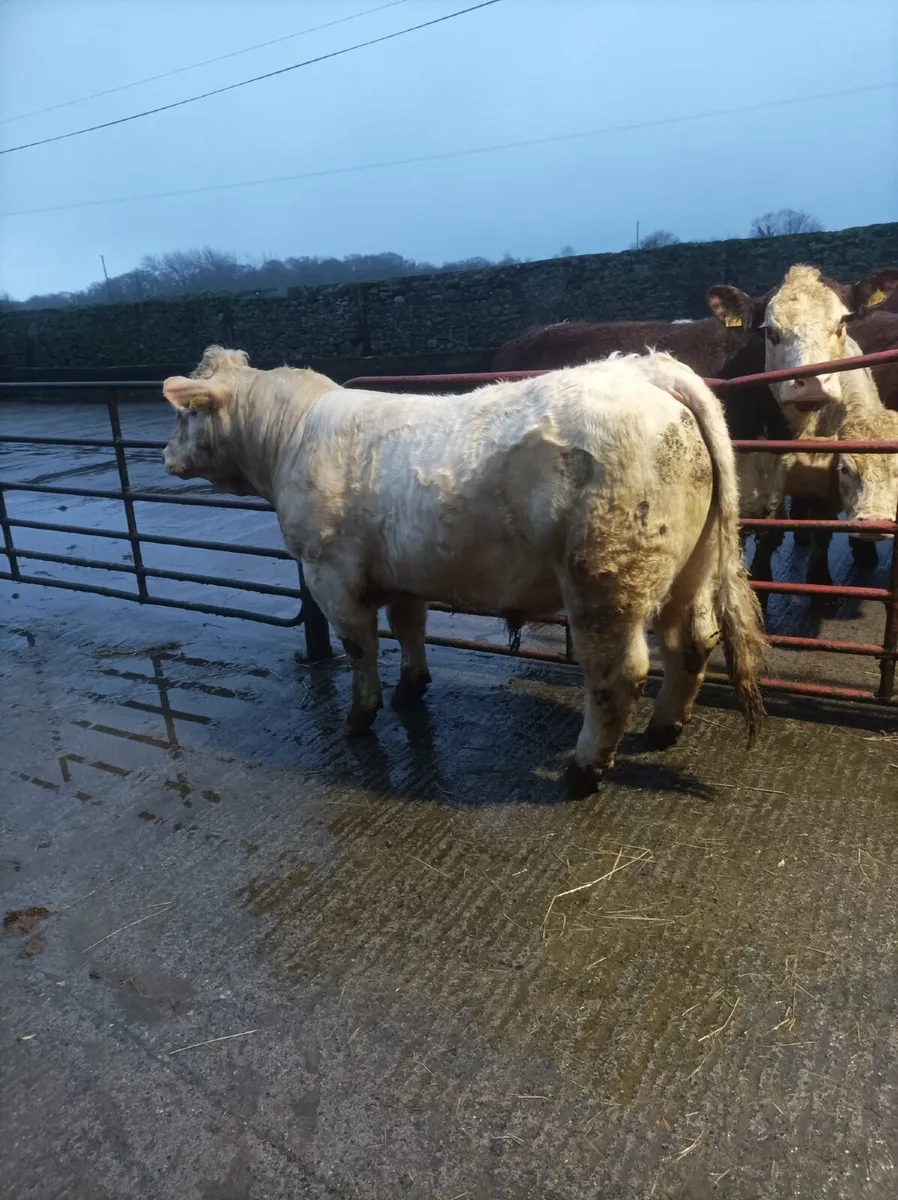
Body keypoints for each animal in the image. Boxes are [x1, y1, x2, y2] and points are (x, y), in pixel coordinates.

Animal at [162, 346, 766, 796]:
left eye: (184, 414)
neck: (291, 435)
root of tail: (646, 368)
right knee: (692, 642)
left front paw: (360, 717)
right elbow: (409, 628)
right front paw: (411, 689)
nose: (166, 456)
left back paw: (583, 770)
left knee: (618, 673)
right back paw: (664, 730)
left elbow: (359, 648)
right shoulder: (404, 573)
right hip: (691, 566)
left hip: (604, 578)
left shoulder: (328, 573)